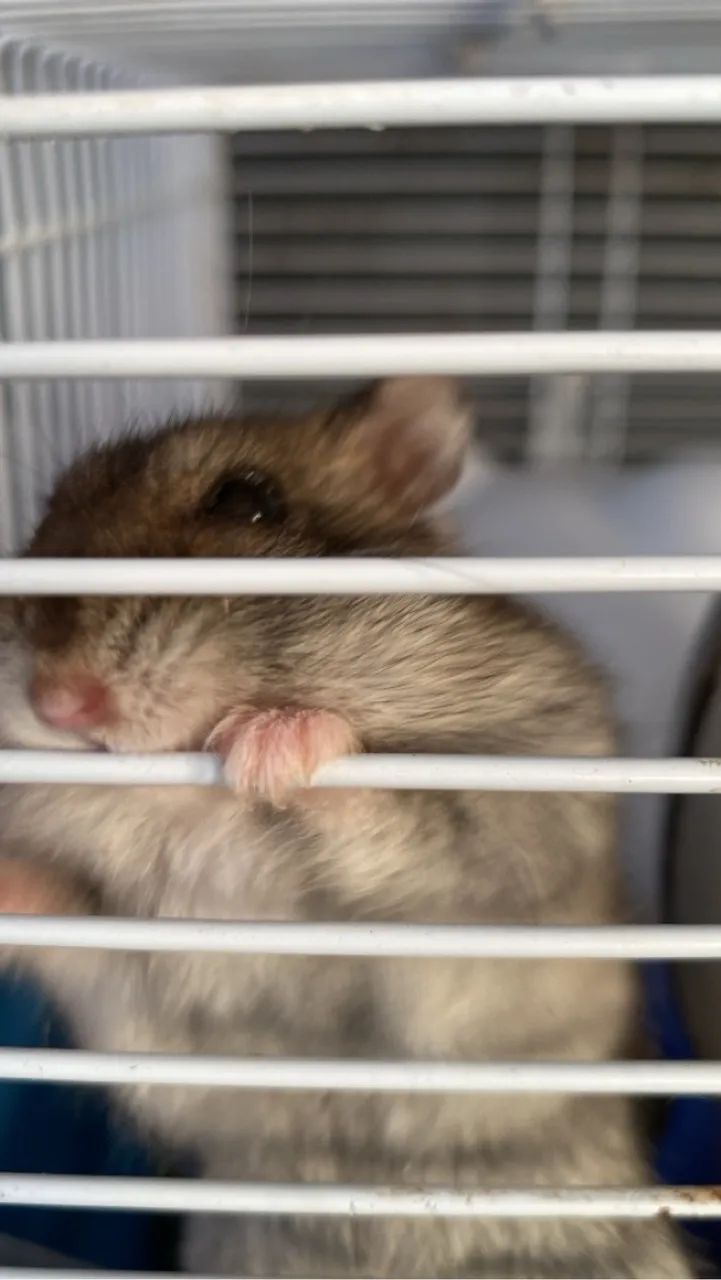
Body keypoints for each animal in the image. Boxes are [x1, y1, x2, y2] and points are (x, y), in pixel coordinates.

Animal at [0, 377, 692, 1278]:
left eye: (245, 500)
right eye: (45, 520)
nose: (57, 703)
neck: (187, 819)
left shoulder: (519, 815)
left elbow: (397, 813)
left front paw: (267, 745)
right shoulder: (142, 1012)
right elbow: (69, 927)